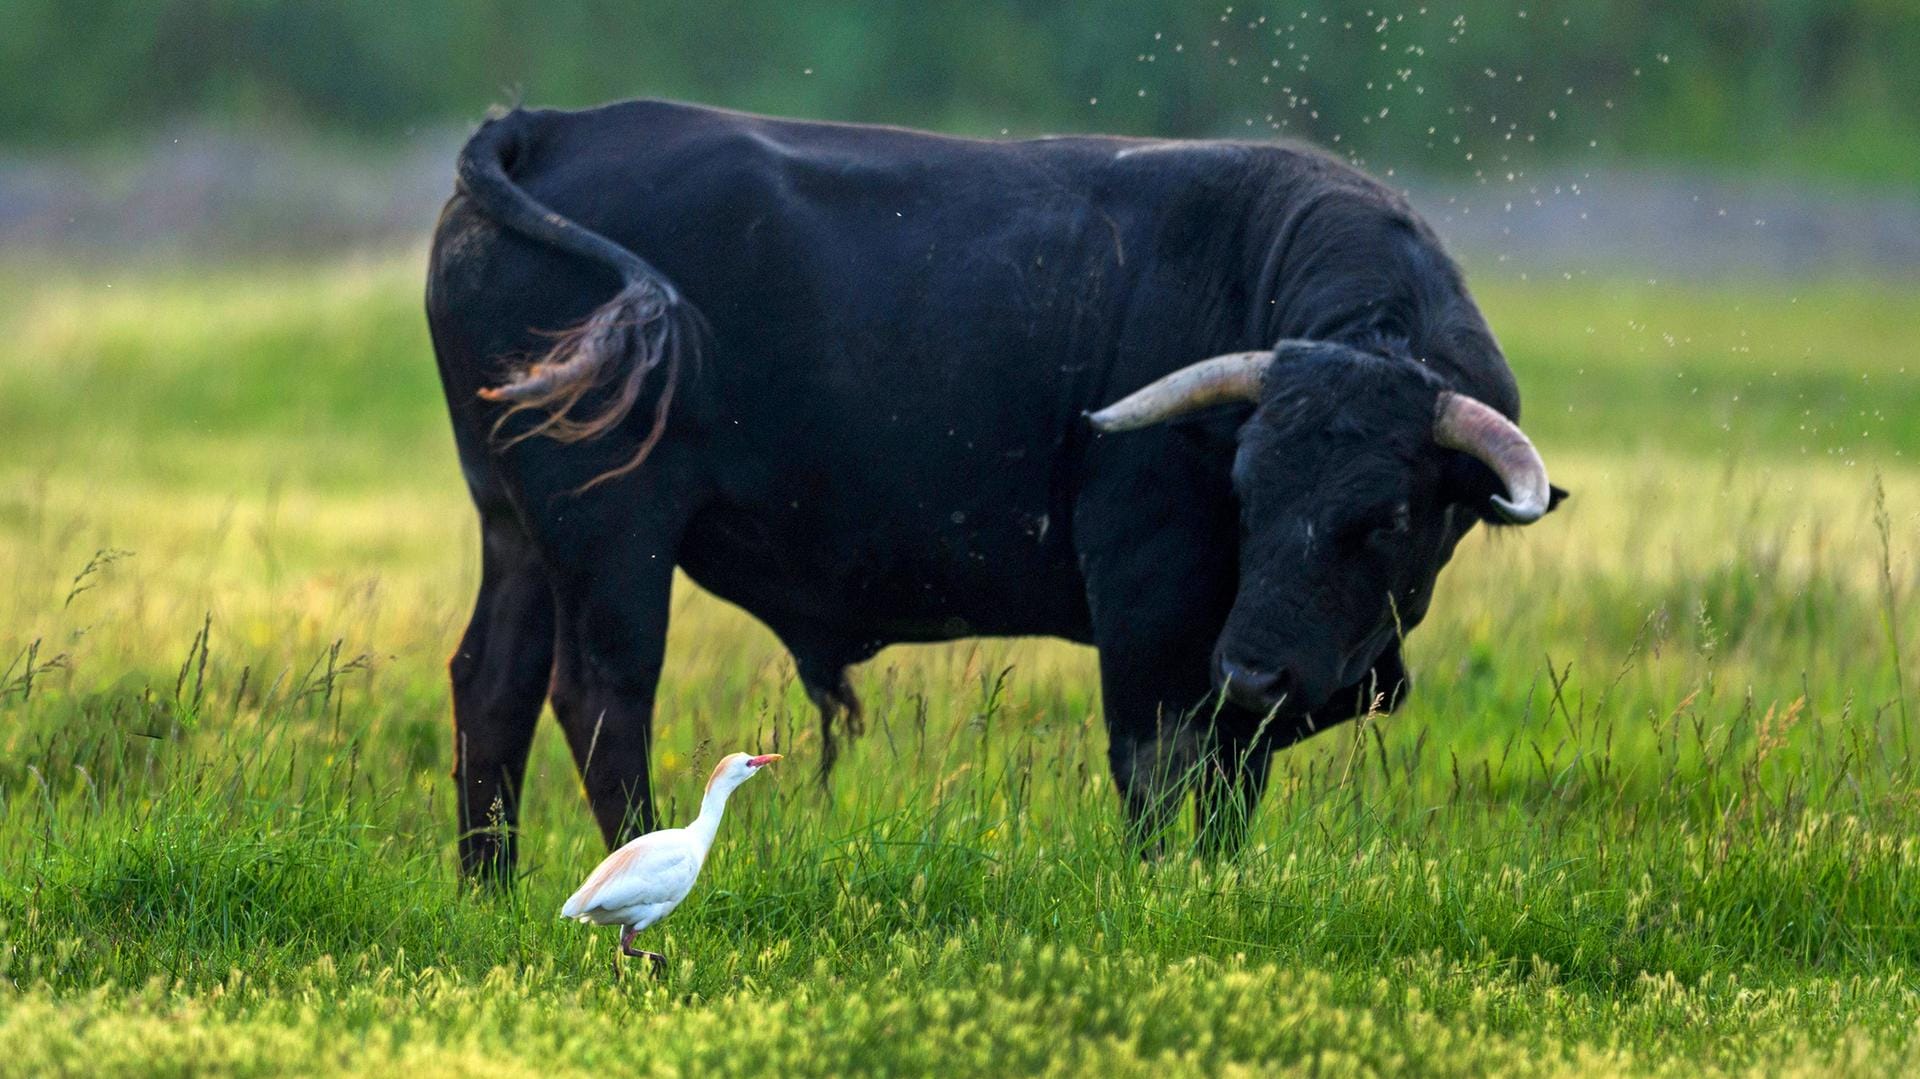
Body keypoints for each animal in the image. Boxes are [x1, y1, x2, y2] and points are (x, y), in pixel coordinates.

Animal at [424, 96, 1559, 879]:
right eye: (1246, 491)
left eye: (1392, 516)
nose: (1257, 668)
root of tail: (550, 125)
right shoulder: (1150, 600)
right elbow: (1156, 761)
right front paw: (1158, 885)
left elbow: (1233, 778)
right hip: (610, 533)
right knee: (601, 694)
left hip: (515, 527)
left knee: (494, 680)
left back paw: (492, 886)